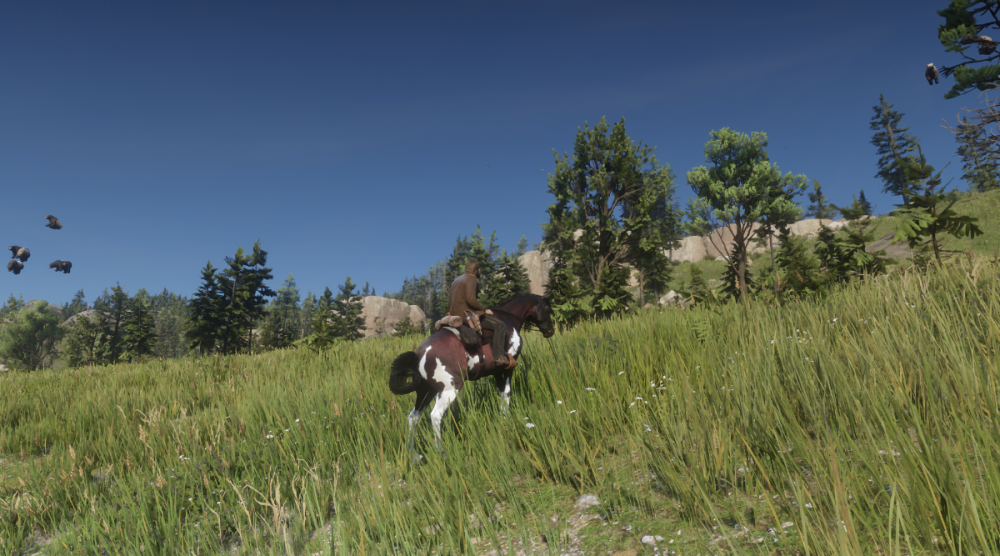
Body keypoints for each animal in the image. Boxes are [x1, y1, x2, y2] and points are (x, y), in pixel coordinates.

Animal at [388, 293, 556, 454]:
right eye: (547, 308)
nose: (550, 331)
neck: (508, 319)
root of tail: (419, 354)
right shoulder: (508, 368)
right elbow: (507, 393)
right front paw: (507, 422)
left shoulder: (496, 371)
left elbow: (501, 393)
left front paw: (503, 421)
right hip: (449, 389)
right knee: (435, 416)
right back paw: (440, 452)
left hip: (426, 391)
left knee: (413, 417)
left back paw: (412, 453)